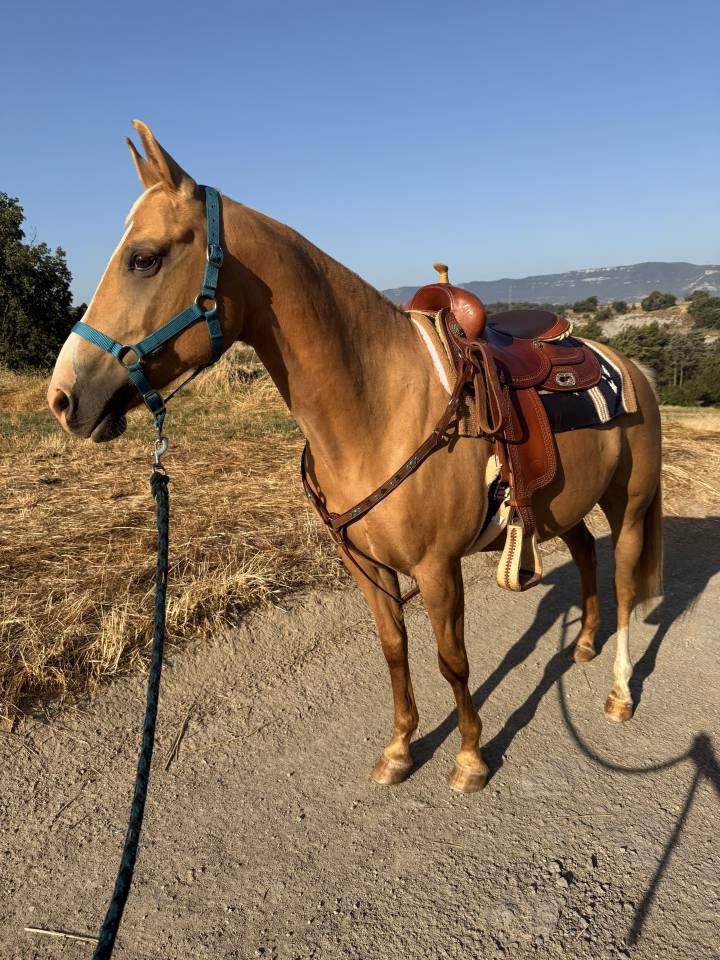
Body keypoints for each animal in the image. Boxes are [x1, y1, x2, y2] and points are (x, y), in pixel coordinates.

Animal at [48, 121, 662, 794]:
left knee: (625, 582)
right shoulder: (366, 565)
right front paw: (399, 749)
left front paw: (470, 758)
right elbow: (394, 649)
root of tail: (628, 365)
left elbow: (452, 661)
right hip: (565, 506)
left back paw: (620, 693)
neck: (380, 407)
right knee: (584, 556)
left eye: (144, 258)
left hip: (630, 506)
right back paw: (583, 645)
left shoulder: (437, 568)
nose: (64, 397)